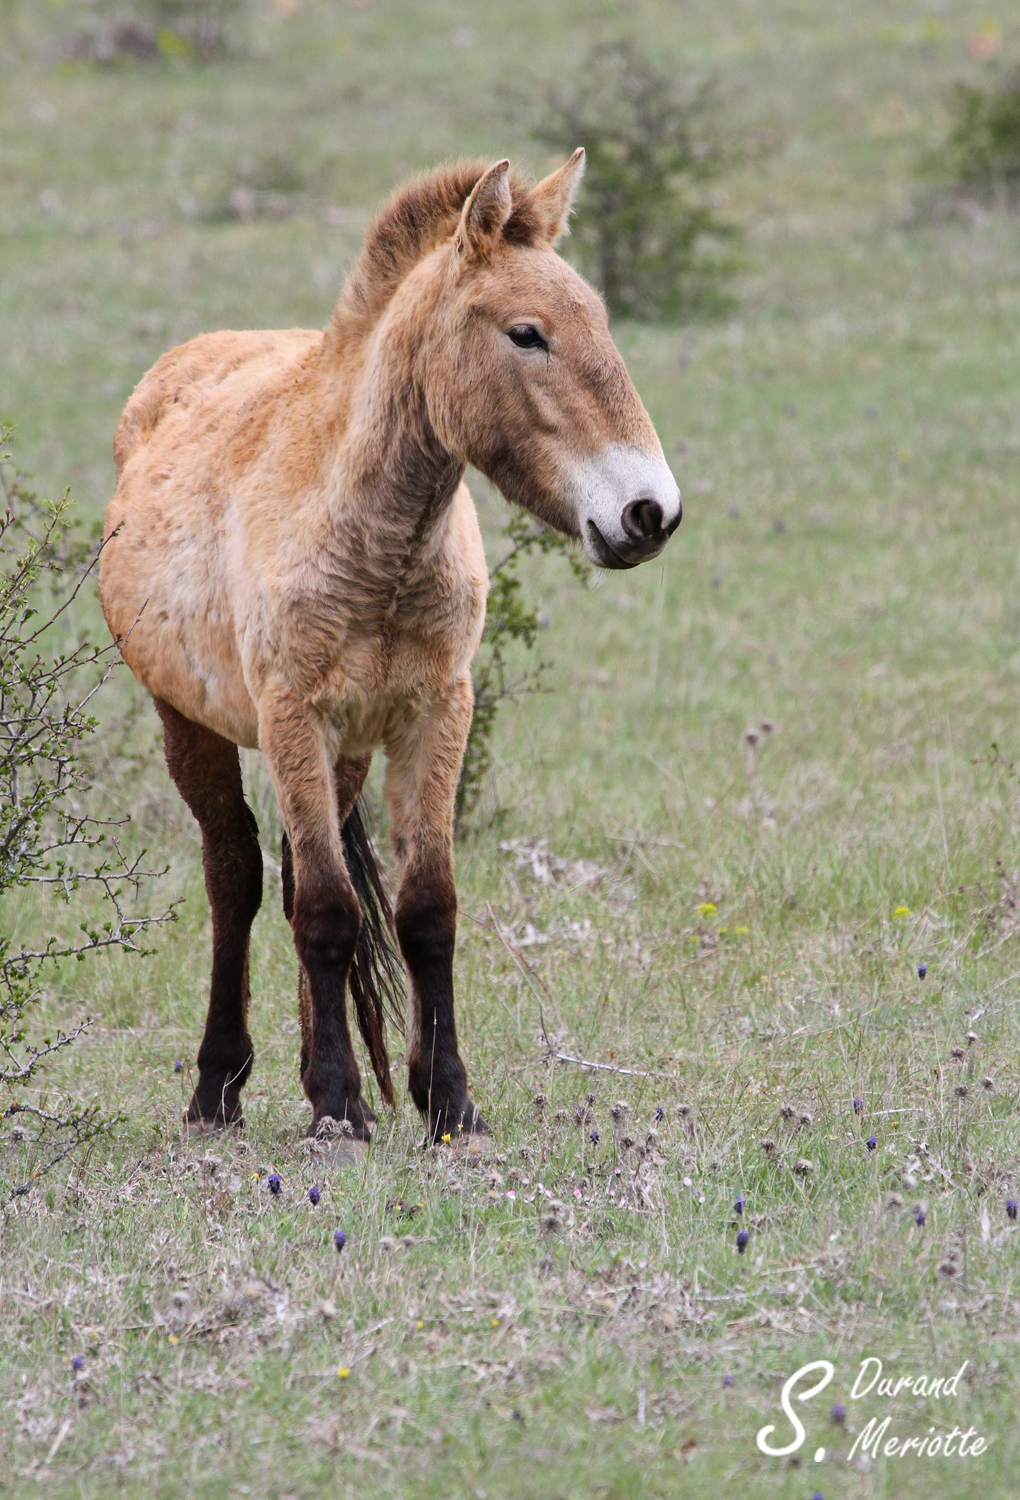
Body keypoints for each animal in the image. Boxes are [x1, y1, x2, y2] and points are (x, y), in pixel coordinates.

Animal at [98, 152, 682, 1147]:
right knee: (236, 878)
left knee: (295, 881)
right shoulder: (294, 718)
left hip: (343, 757)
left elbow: (424, 910)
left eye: (602, 321)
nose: (650, 512)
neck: (375, 545)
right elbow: (331, 913)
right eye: (527, 334)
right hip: (192, 724)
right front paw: (339, 1105)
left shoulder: (432, 716)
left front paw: (444, 1099)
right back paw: (219, 1089)